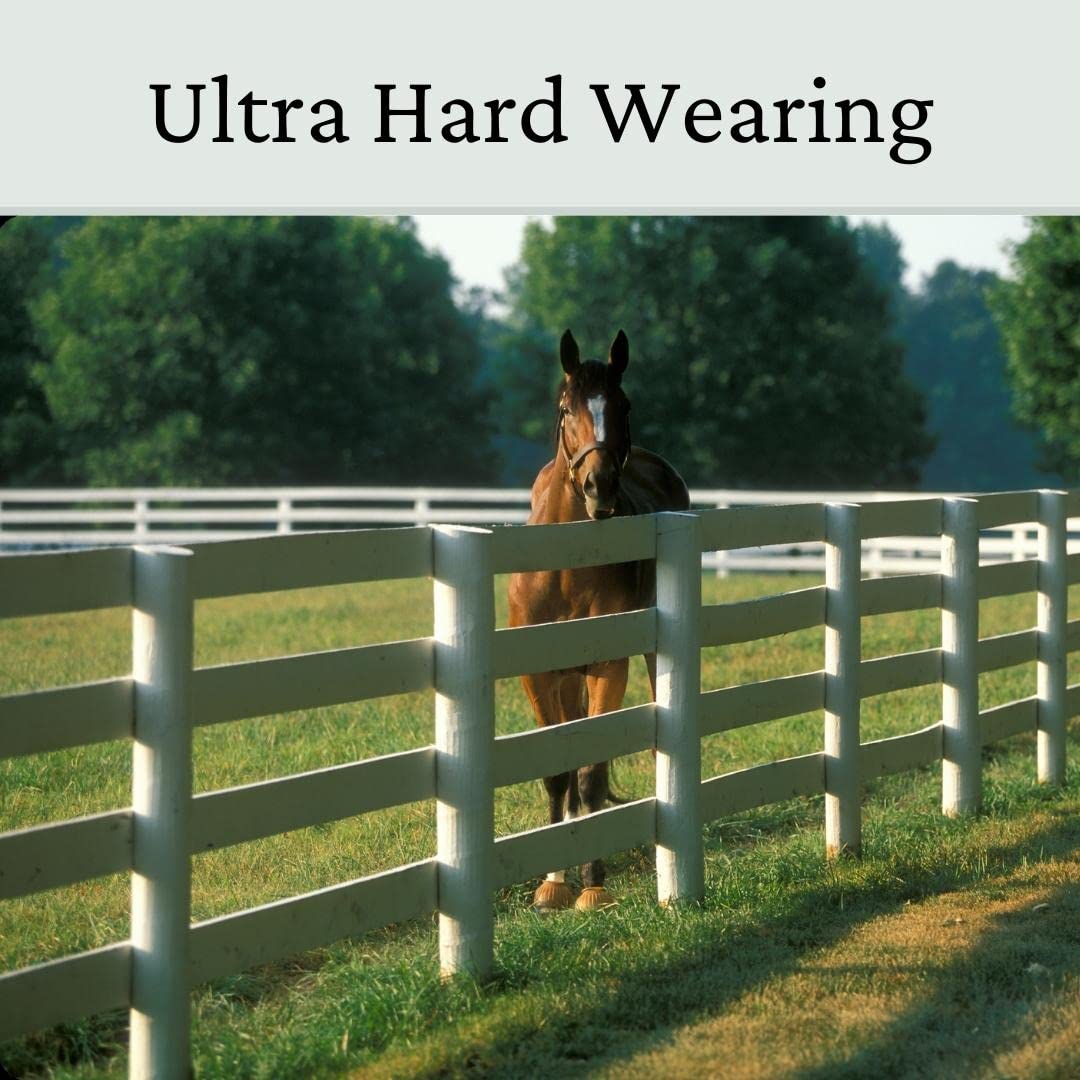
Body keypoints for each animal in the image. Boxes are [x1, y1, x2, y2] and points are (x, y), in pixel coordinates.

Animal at [507, 329, 691, 911]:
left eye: (623, 405)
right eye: (567, 408)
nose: (599, 486)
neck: (567, 566)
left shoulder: (607, 667)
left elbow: (590, 774)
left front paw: (593, 884)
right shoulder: (538, 674)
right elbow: (559, 773)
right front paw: (552, 883)